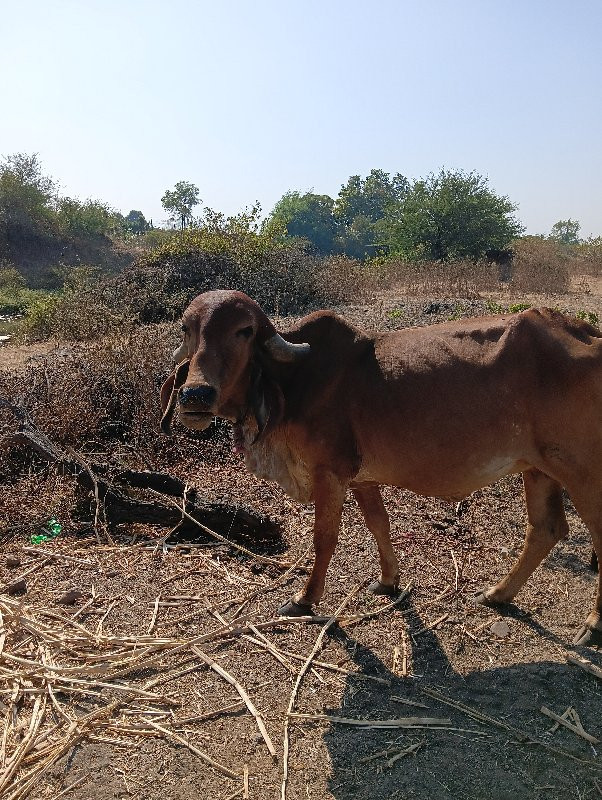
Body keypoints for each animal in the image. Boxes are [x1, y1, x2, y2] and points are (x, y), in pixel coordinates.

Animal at [159, 290, 600, 648]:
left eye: (244, 331)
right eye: (187, 328)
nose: (195, 395)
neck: (295, 380)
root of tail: (588, 333)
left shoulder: (329, 474)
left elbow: (324, 539)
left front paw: (305, 599)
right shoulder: (362, 479)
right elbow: (379, 525)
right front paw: (389, 581)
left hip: (583, 473)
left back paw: (592, 625)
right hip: (539, 468)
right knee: (545, 529)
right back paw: (497, 594)